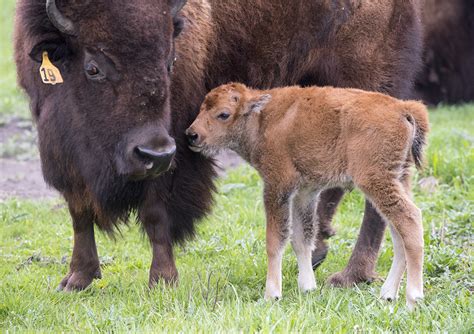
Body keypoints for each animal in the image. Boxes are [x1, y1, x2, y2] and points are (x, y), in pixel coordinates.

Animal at [13, 0, 422, 290]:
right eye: (93, 67)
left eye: (170, 60)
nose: (153, 154)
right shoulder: (62, 151)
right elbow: (79, 213)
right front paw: (76, 279)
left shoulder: (174, 147)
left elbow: (156, 212)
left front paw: (163, 279)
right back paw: (320, 252)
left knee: (378, 203)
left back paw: (351, 275)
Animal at [185, 82, 430, 310]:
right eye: (202, 108)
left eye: (223, 114)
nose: (192, 135)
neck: (262, 118)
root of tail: (403, 108)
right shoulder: (305, 193)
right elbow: (302, 238)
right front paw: (307, 287)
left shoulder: (277, 187)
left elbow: (275, 240)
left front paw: (272, 294)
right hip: (399, 177)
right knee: (398, 232)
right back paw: (388, 294)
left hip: (375, 181)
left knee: (410, 220)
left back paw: (413, 298)